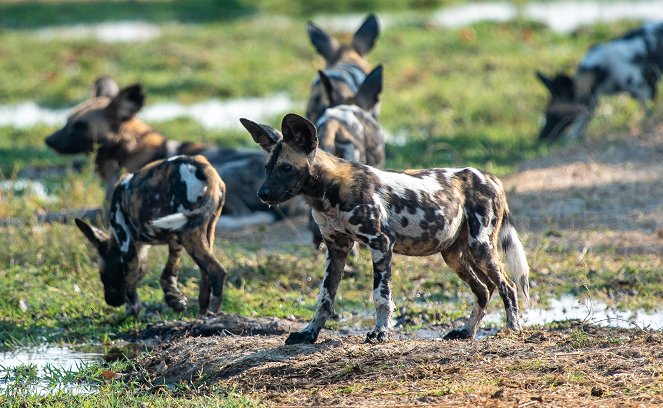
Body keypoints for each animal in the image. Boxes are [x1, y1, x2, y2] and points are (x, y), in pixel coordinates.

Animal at [44, 76, 288, 226]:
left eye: (80, 126)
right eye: (68, 120)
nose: (48, 140)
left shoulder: (109, 210)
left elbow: (67, 213)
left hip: (220, 170)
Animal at [75, 155, 228, 318]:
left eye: (102, 275)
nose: (110, 301)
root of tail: (204, 166)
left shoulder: (125, 243)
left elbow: (131, 286)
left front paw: (130, 313)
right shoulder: (174, 241)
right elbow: (168, 274)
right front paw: (175, 299)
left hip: (188, 233)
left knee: (217, 272)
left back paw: (212, 313)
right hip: (203, 230)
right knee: (205, 279)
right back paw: (202, 316)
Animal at [241, 114, 532, 344]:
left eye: (286, 168)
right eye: (267, 168)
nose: (262, 194)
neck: (326, 193)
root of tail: (489, 176)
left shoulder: (380, 244)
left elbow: (381, 296)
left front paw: (380, 333)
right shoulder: (336, 248)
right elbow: (324, 298)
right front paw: (309, 334)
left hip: (481, 246)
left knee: (507, 286)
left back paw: (512, 329)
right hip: (453, 255)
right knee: (484, 289)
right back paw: (466, 331)